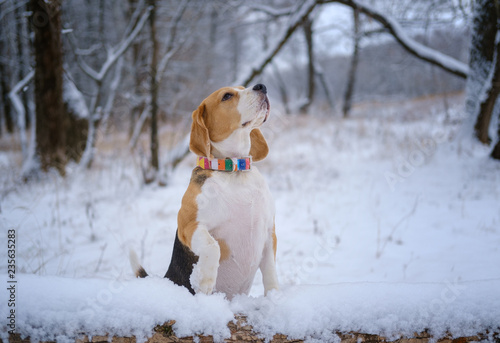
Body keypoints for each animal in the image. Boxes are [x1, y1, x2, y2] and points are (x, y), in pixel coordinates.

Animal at [133, 84, 280, 300]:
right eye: (227, 96)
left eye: (243, 88)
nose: (261, 86)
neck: (233, 170)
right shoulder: (188, 225)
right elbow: (213, 246)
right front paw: (203, 280)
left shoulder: (269, 232)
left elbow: (270, 271)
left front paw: (274, 297)